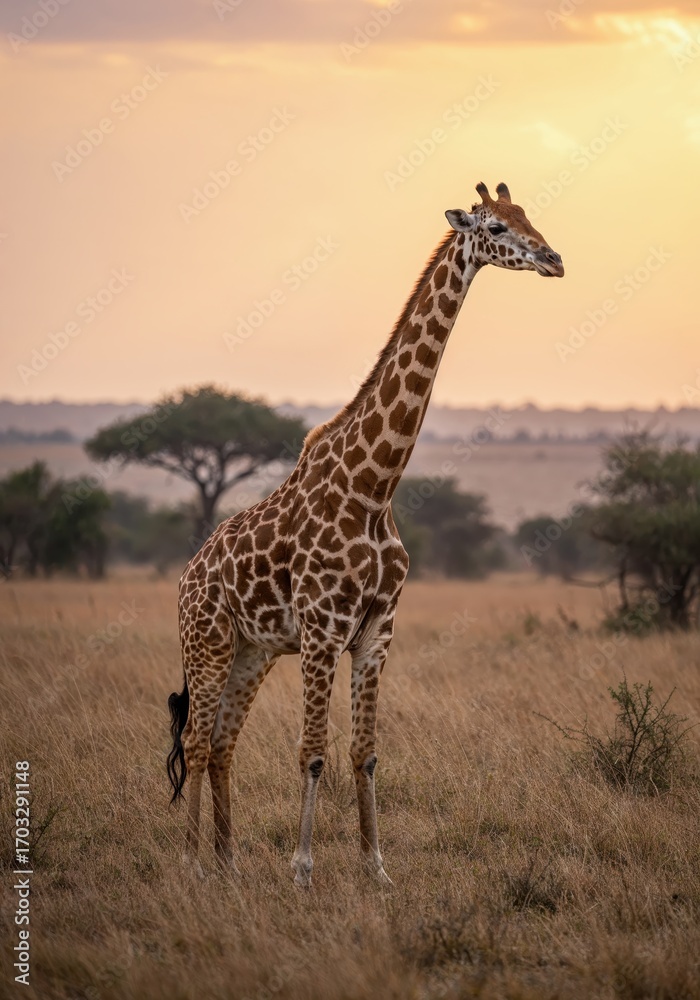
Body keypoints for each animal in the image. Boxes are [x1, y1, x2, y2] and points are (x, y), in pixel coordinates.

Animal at [167, 181, 564, 887]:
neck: (375, 488)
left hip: (252, 651)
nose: (554, 259)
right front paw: (303, 868)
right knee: (193, 739)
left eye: (528, 216)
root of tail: (186, 576)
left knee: (220, 744)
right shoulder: (324, 630)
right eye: (495, 226)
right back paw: (193, 865)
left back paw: (229, 860)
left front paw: (375, 867)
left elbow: (365, 752)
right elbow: (312, 751)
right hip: (207, 641)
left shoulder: (377, 631)